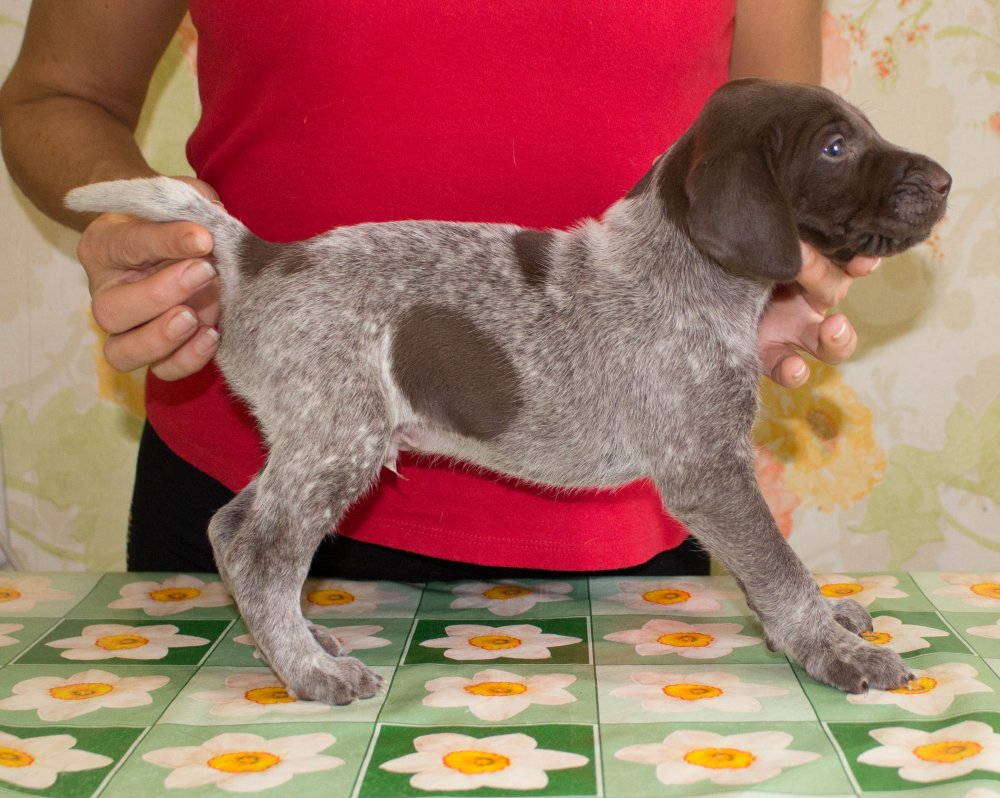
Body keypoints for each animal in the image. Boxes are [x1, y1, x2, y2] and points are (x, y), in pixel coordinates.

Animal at [67, 79, 951, 705]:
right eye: (835, 146)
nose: (944, 180)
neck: (684, 270)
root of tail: (259, 256)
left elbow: (767, 571)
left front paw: (820, 625)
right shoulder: (706, 469)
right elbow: (777, 565)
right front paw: (833, 649)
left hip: (312, 437)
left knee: (233, 526)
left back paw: (303, 647)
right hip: (338, 438)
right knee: (261, 551)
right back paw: (308, 672)